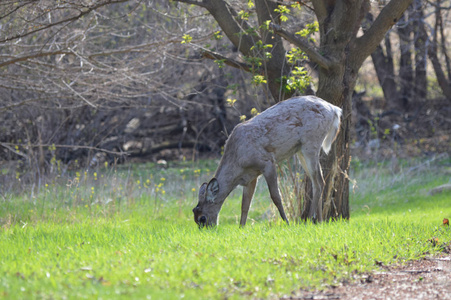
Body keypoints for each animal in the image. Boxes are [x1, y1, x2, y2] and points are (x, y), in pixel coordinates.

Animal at [192, 96, 342, 227]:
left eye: (202, 218)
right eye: (194, 217)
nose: (209, 230)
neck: (238, 163)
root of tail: (334, 109)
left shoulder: (267, 162)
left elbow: (276, 196)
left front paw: (287, 223)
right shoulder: (250, 177)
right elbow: (245, 204)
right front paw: (241, 228)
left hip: (311, 142)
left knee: (319, 181)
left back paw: (312, 219)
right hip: (301, 150)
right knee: (317, 182)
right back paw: (317, 221)